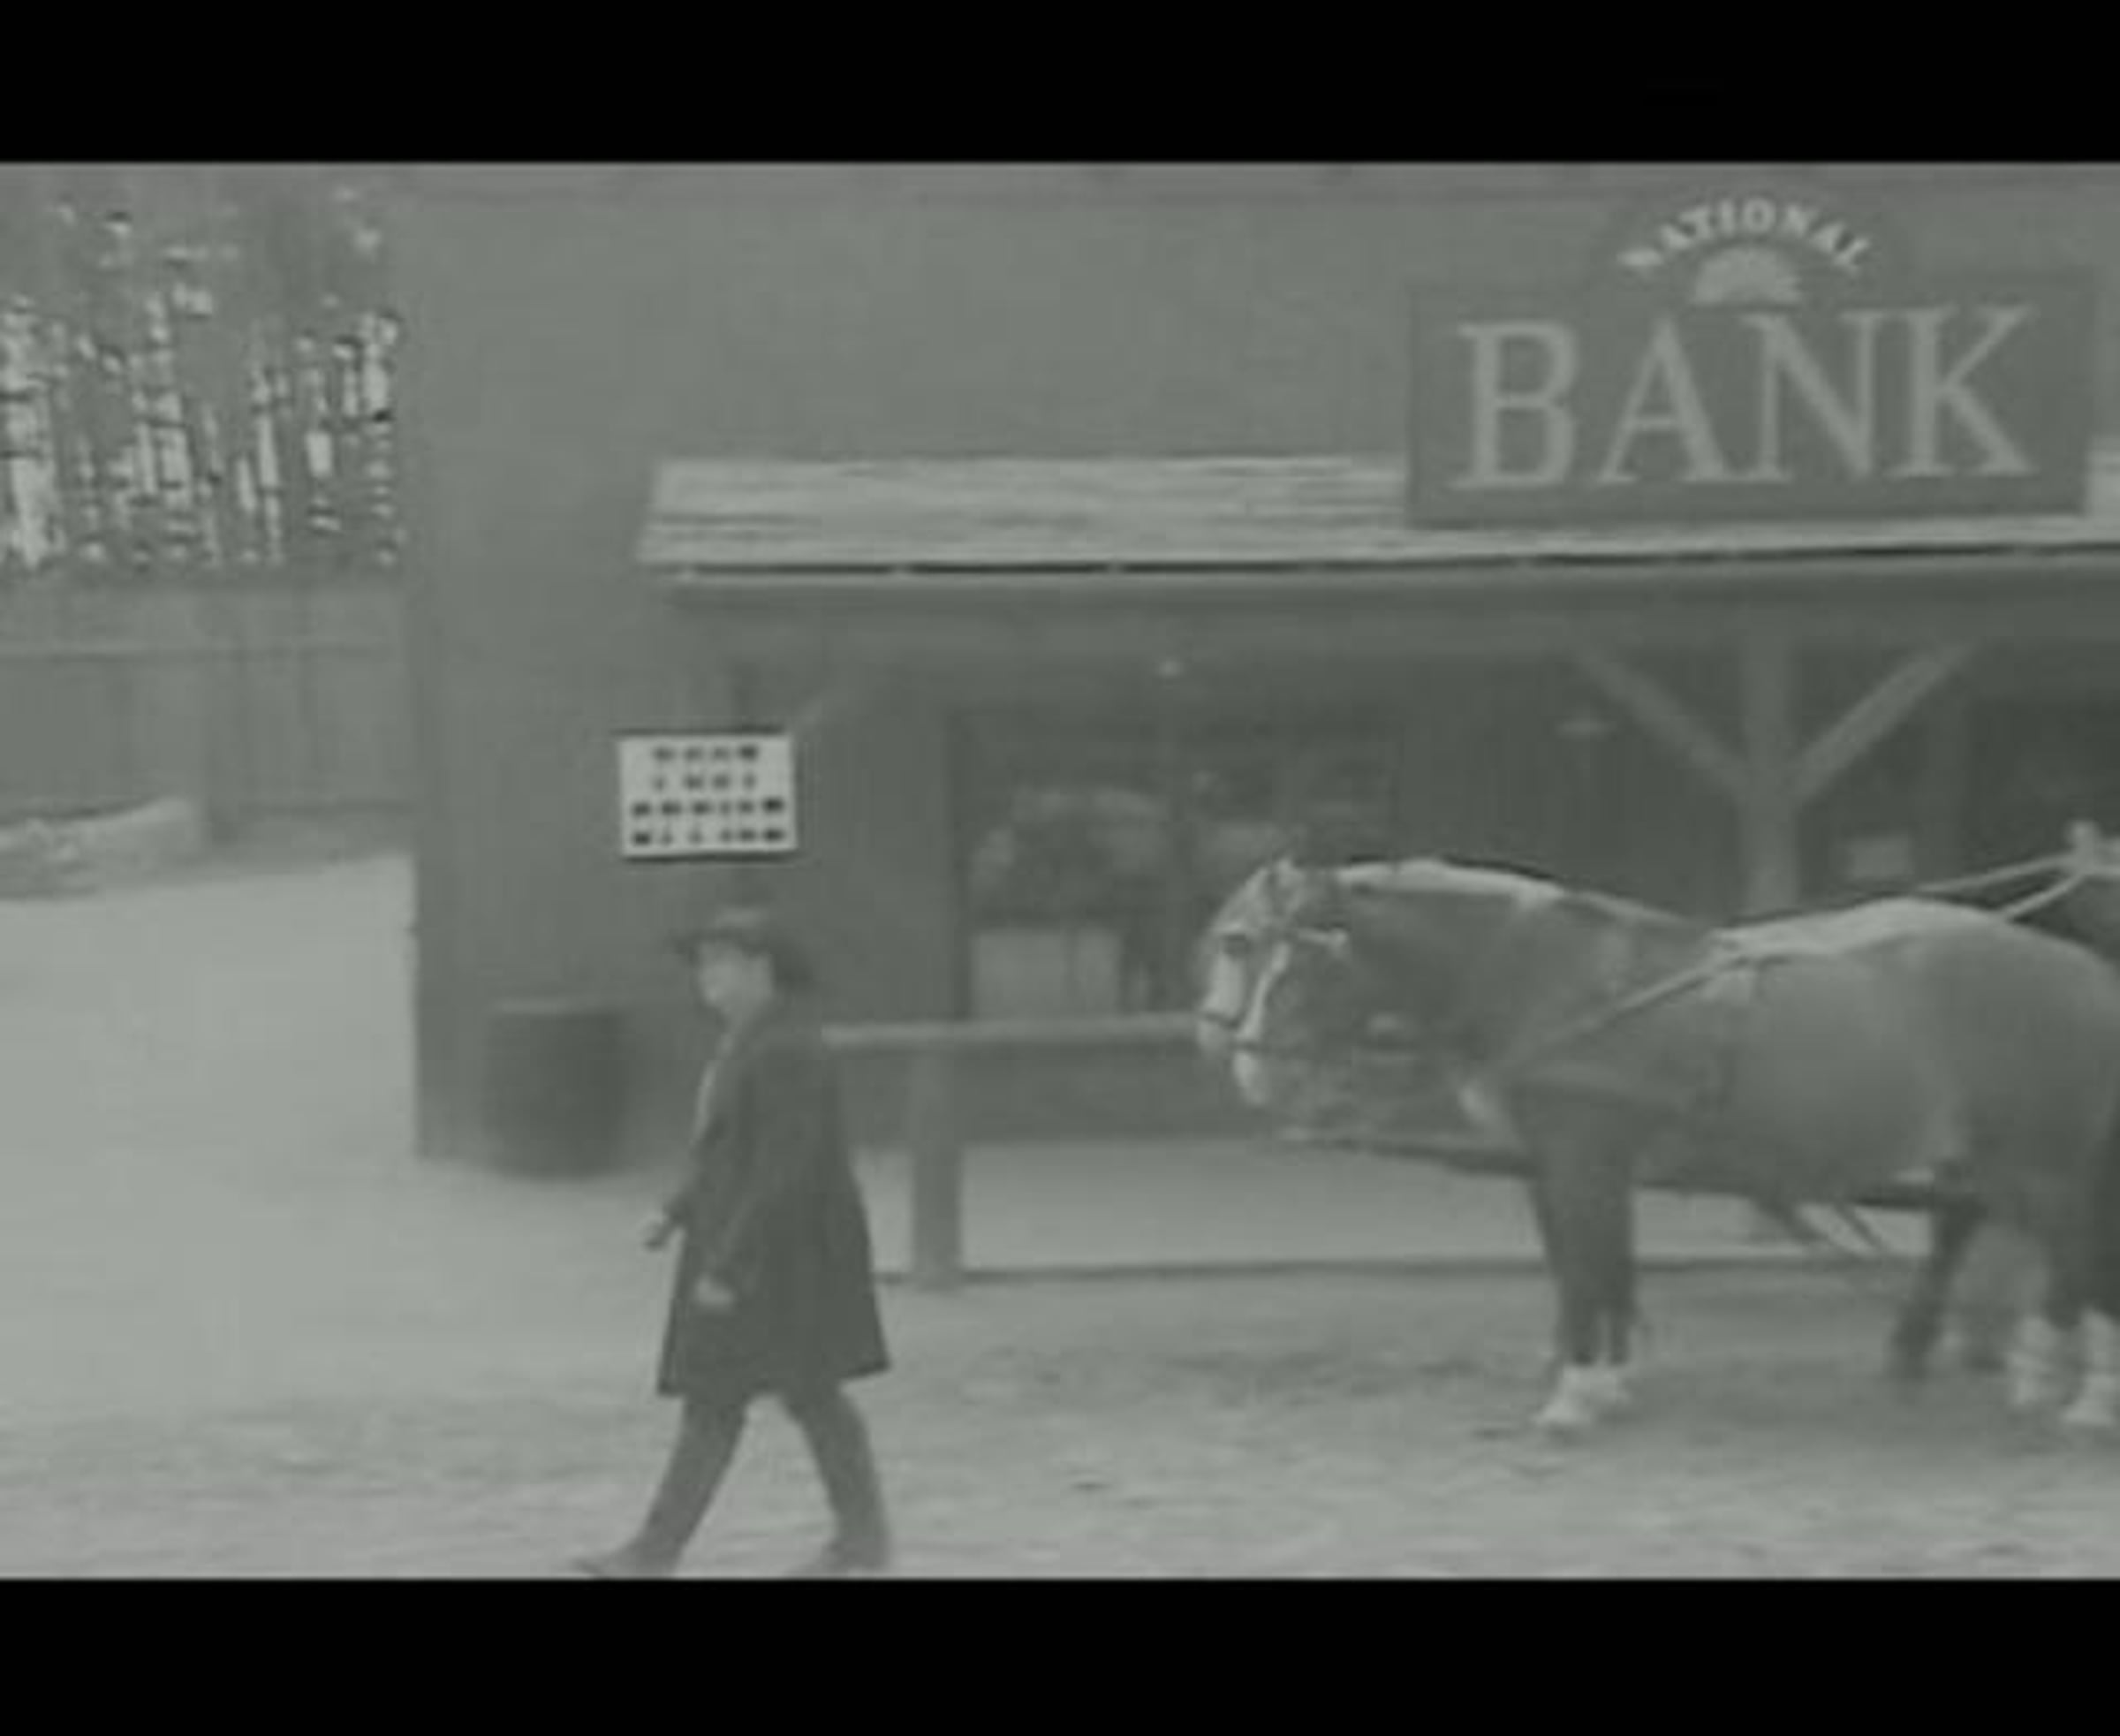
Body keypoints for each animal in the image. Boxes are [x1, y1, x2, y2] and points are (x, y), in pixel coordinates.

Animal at [1196, 854, 2120, 1438]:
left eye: (1298, 955)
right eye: (1242, 942)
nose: (1247, 1064)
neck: (1558, 980)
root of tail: (2085, 966)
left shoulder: (1580, 1156)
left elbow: (1586, 1267)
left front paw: (1573, 1398)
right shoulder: (1565, 1163)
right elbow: (1598, 1264)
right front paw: (1608, 1381)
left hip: (2045, 1149)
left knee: (2074, 1243)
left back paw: (2082, 1395)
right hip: (2001, 1151)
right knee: (2003, 1231)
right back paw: (2007, 1365)